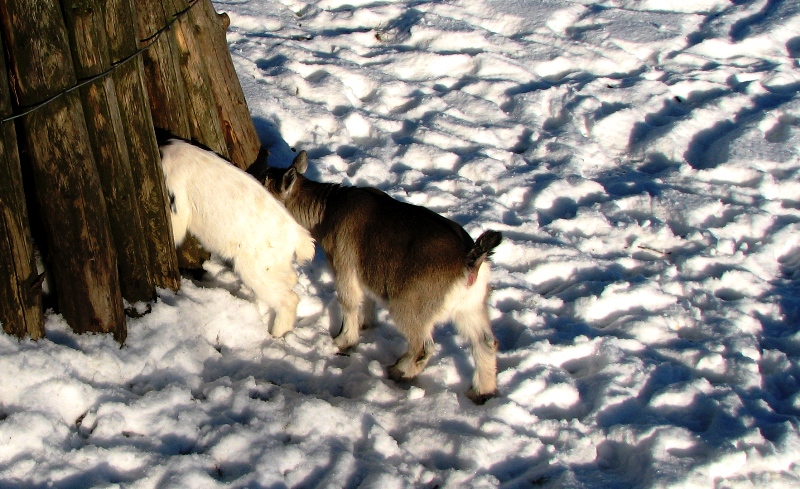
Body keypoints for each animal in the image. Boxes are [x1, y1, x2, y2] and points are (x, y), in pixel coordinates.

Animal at [159, 137, 316, 336]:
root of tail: (298, 236)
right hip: (273, 266)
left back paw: (277, 334)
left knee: (289, 300)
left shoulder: (177, 207)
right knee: (291, 278)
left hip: (256, 270)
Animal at [260, 151, 504, 402]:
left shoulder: (344, 266)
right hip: (470, 307)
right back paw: (481, 392)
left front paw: (342, 341)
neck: (328, 210)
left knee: (423, 347)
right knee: (486, 342)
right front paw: (366, 324)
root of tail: (471, 259)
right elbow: (367, 299)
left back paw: (399, 371)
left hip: (410, 307)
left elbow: (348, 302)